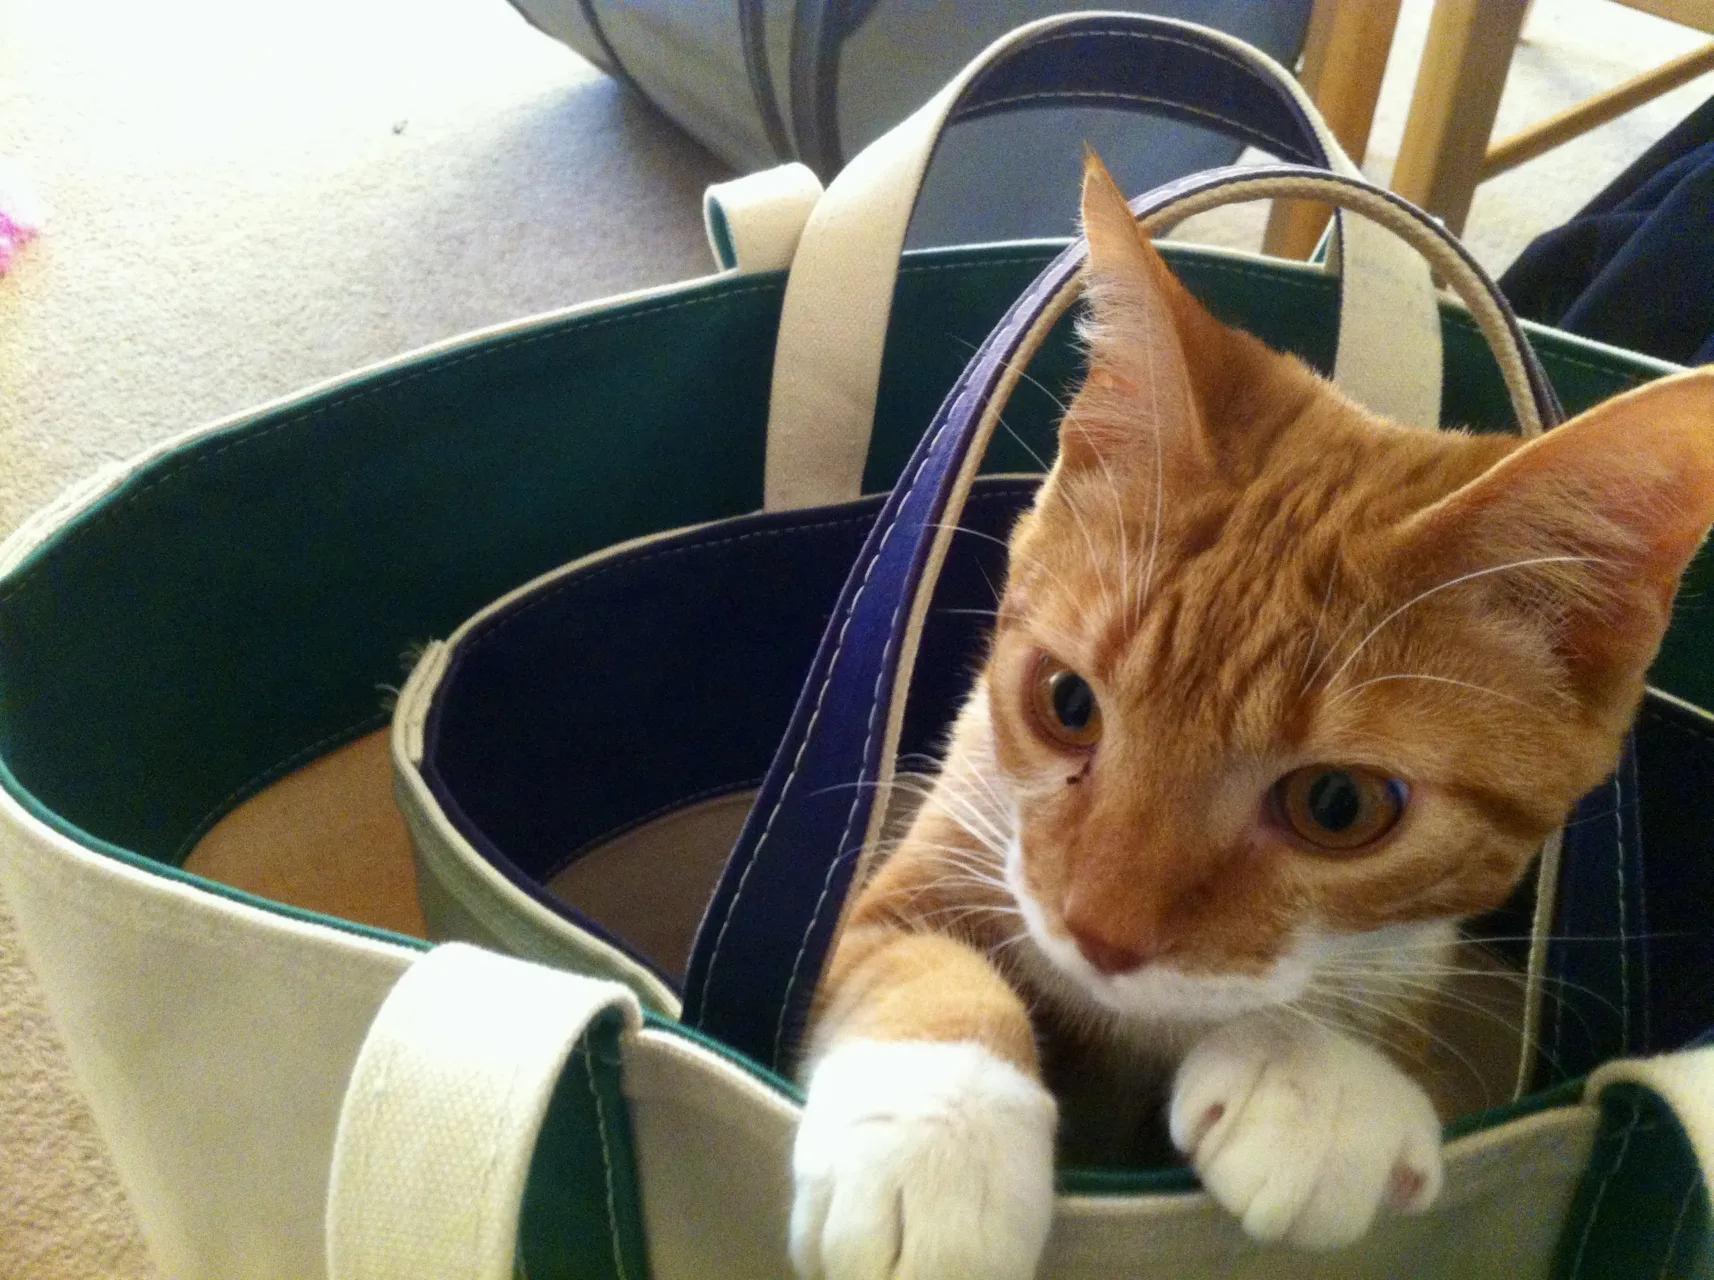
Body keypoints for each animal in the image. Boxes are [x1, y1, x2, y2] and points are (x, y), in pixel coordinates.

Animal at [785, 152, 1714, 1280]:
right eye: (1066, 703)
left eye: (1339, 804)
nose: (1099, 932)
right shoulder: (915, 864)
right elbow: (915, 952)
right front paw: (940, 1129)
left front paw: (1319, 1081)